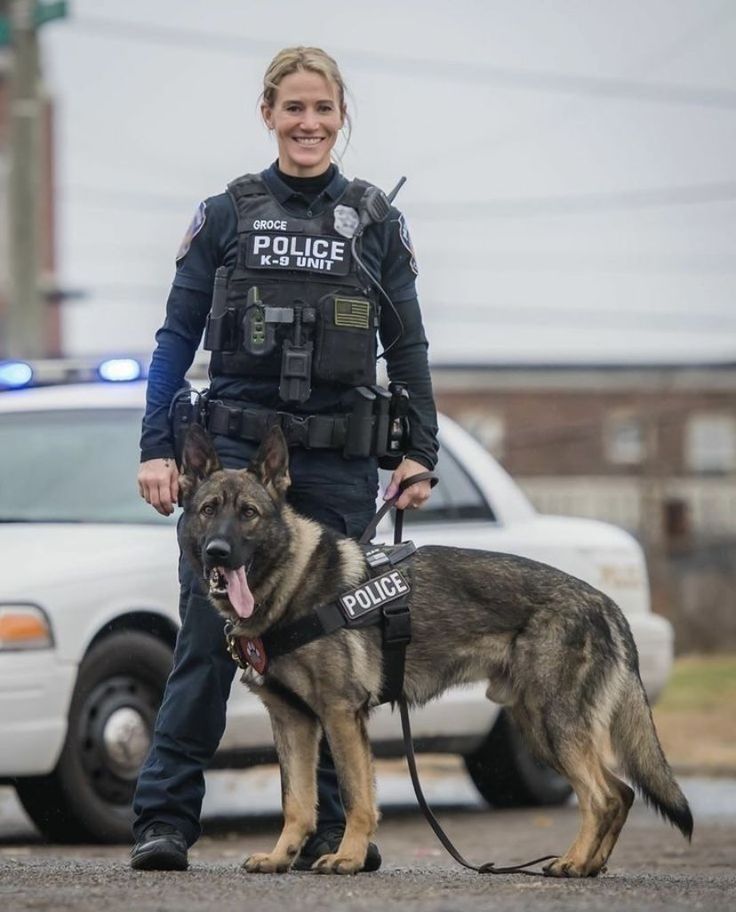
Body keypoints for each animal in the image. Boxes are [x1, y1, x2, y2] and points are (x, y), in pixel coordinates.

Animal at [180, 424, 696, 872]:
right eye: (208, 510)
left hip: (553, 725)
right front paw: (280, 857)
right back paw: (590, 865)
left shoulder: (340, 715)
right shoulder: (293, 721)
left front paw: (349, 858)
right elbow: (297, 803)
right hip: (537, 726)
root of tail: (604, 601)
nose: (217, 552)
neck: (291, 585)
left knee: (602, 796)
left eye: (249, 513)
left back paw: (572, 861)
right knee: (621, 793)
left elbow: (355, 796)